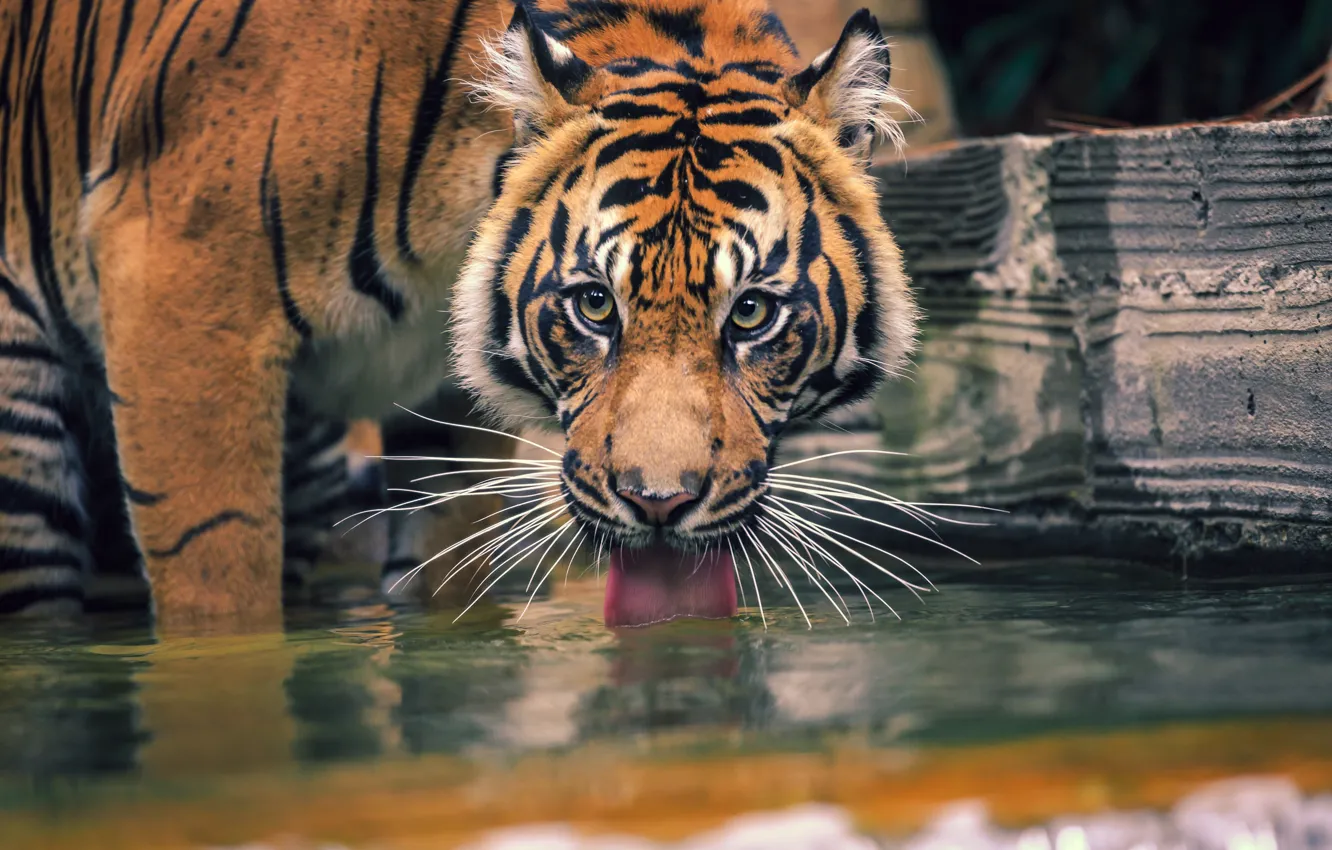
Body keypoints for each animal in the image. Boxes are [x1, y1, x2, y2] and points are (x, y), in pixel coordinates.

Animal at [0, 0, 917, 628]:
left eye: (752, 314)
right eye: (596, 305)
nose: (658, 504)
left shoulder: (448, 406)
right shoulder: (182, 280)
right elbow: (220, 584)